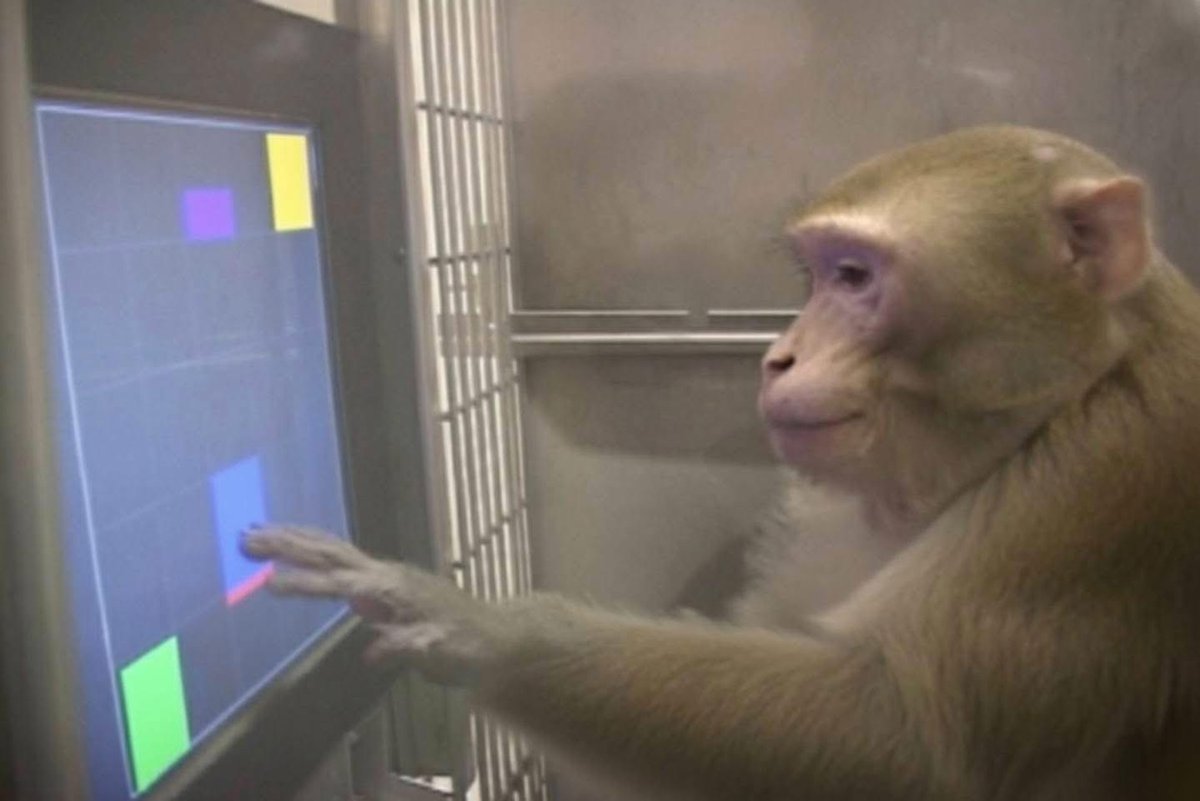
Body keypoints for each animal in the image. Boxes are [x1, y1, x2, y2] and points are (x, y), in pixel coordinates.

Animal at [243, 125, 1200, 800]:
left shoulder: (1109, 488)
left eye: (856, 276)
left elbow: (899, 743)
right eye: (813, 276)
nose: (777, 357)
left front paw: (475, 626)